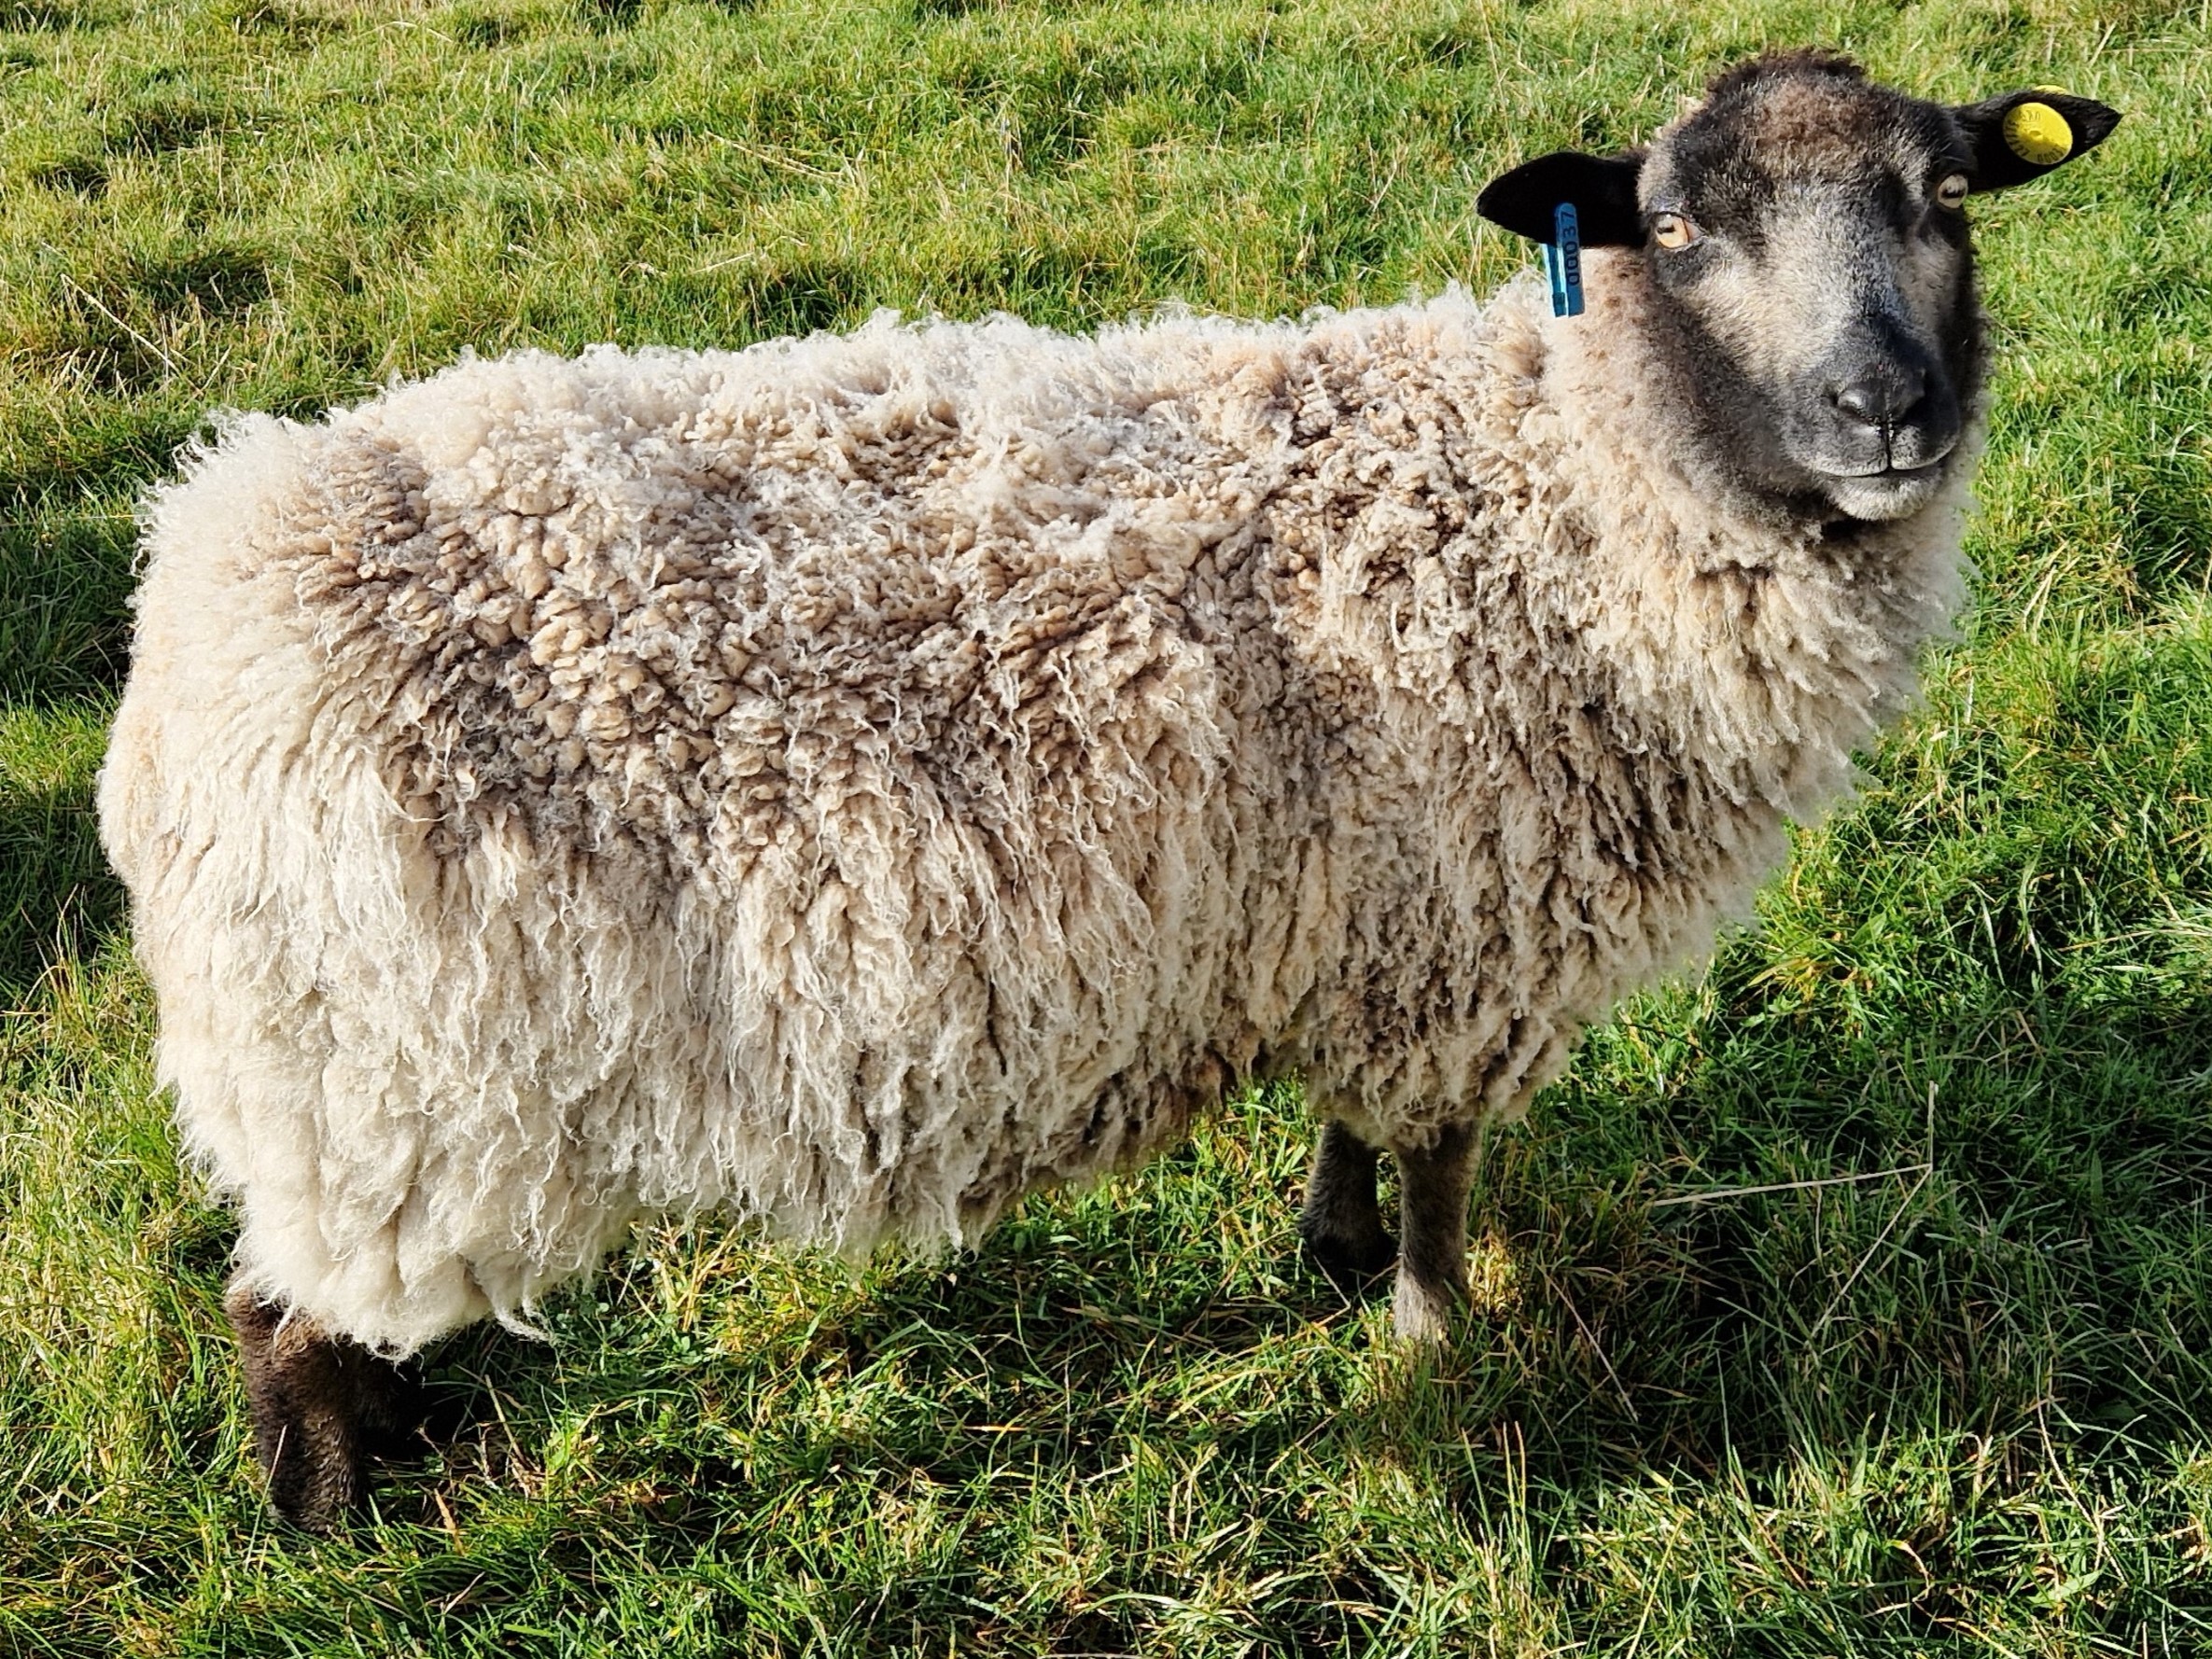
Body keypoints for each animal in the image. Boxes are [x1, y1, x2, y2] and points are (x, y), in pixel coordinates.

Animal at [94, 55, 2114, 1530]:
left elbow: (1357, 1126)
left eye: (1945, 199)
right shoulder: (1465, 937)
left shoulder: (1367, 917)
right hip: (375, 1075)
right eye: (1679, 224)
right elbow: (1444, 1168)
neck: (1549, 485)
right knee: (279, 1301)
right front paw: (1432, 1341)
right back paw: (333, 1495)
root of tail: (196, 573)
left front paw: (1330, 1248)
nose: (1884, 406)